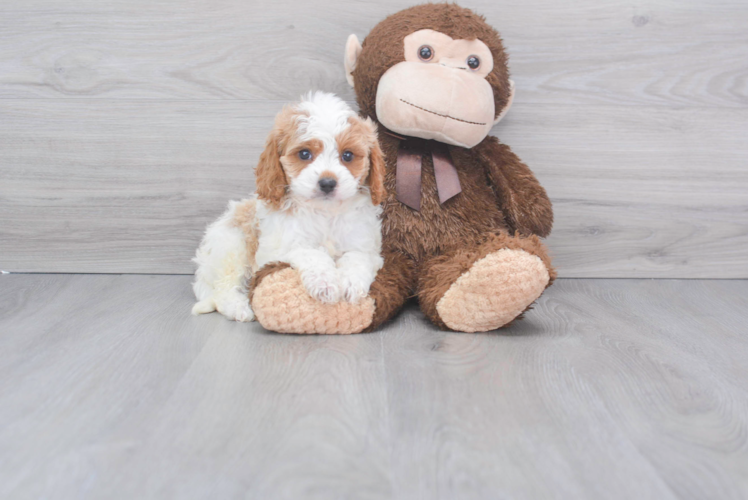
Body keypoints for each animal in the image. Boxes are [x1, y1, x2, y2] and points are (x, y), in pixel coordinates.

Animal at [190, 92, 386, 322]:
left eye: (347, 155)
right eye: (304, 154)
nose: (327, 183)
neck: (325, 213)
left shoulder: (365, 245)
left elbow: (357, 258)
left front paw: (351, 283)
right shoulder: (279, 248)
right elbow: (311, 253)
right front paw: (325, 283)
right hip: (230, 245)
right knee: (224, 288)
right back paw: (238, 307)